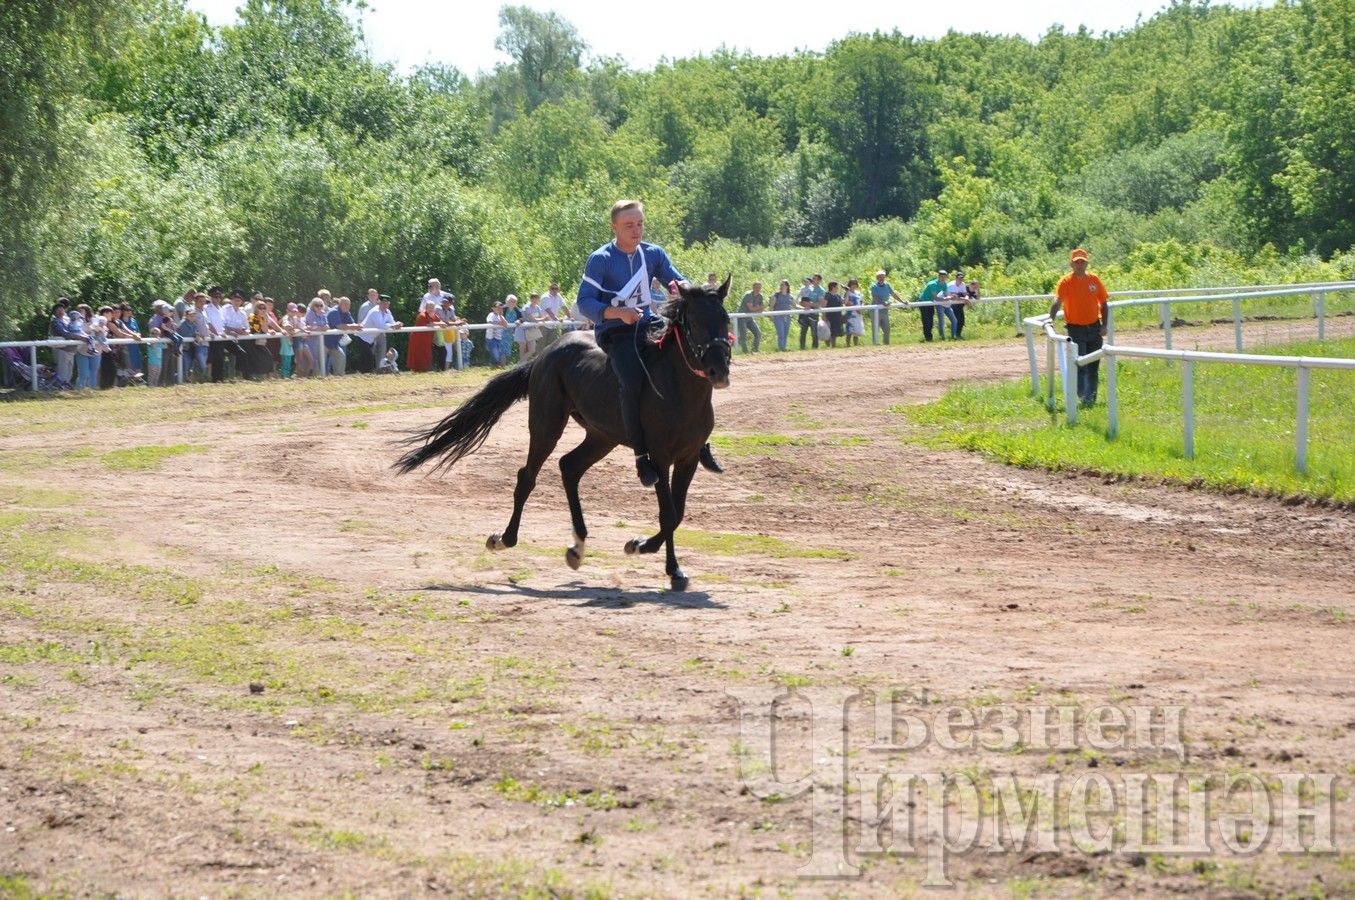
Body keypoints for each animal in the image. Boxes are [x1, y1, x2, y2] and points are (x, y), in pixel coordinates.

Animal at [392, 281, 731, 590]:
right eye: (695, 323)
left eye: (725, 319)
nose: (719, 371)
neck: (677, 389)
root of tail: (545, 355)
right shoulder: (659, 458)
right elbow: (669, 513)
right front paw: (665, 564)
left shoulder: (688, 458)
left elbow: (678, 513)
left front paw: (647, 550)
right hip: (546, 425)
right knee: (527, 476)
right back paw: (505, 539)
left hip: (601, 436)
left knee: (569, 467)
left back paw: (577, 547)